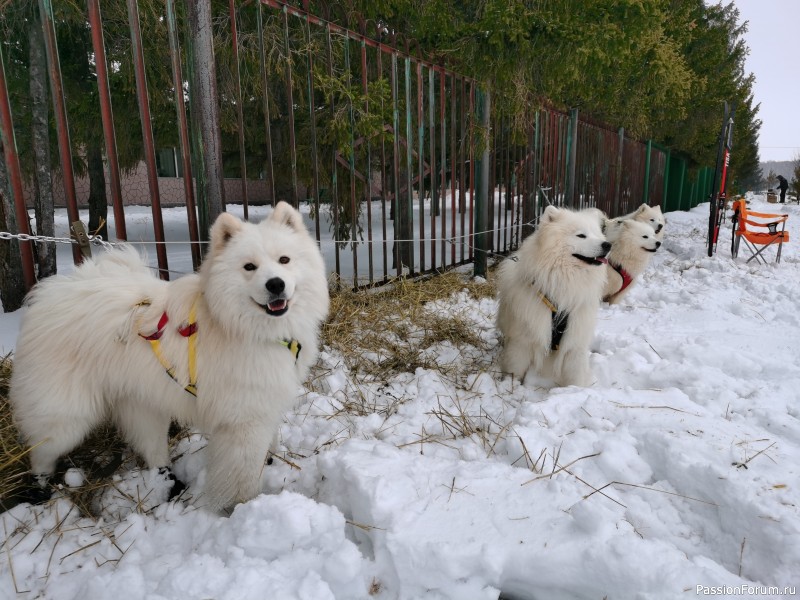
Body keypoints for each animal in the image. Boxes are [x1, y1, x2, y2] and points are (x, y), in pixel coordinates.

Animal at [9, 202, 328, 510]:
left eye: (284, 260)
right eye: (249, 267)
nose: (275, 284)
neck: (237, 325)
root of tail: (49, 295)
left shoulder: (265, 402)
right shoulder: (243, 421)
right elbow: (243, 477)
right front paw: (243, 507)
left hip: (141, 403)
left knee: (152, 450)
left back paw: (170, 484)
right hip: (66, 418)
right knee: (41, 452)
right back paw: (38, 489)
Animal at [494, 204, 612, 386]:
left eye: (597, 235)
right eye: (581, 235)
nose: (607, 245)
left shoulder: (575, 338)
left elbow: (576, 373)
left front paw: (576, 389)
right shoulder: (523, 338)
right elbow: (516, 367)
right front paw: (510, 384)